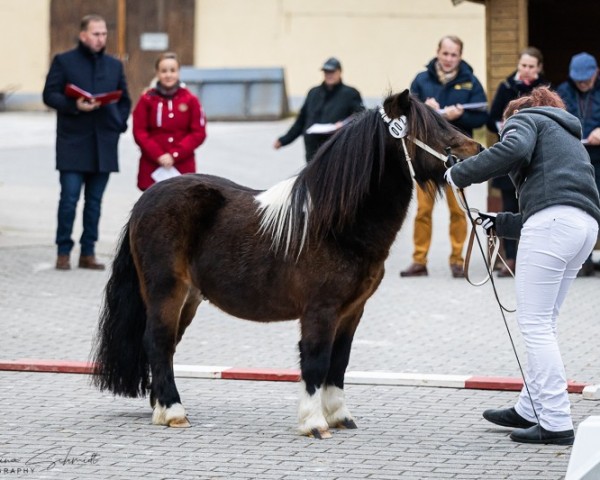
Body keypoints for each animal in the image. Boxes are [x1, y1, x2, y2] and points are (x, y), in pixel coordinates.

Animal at [91, 89, 480, 438]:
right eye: (433, 129)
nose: (476, 151)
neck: (334, 225)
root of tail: (145, 201)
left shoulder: (352, 311)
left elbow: (339, 361)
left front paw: (340, 416)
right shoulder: (320, 310)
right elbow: (316, 360)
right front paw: (314, 423)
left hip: (188, 298)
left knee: (165, 346)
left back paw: (160, 406)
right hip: (166, 291)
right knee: (157, 342)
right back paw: (173, 412)